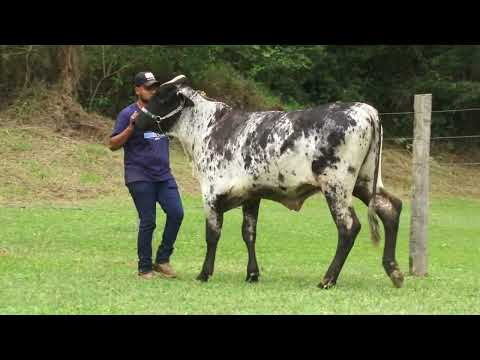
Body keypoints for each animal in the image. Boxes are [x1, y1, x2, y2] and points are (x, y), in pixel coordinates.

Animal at [135, 74, 404, 288]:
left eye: (161, 98)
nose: (136, 121)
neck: (208, 128)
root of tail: (365, 109)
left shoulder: (211, 195)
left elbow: (212, 235)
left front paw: (204, 274)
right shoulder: (251, 196)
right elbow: (249, 233)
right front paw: (252, 274)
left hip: (336, 184)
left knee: (348, 227)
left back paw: (327, 279)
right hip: (365, 181)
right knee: (390, 208)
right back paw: (394, 271)